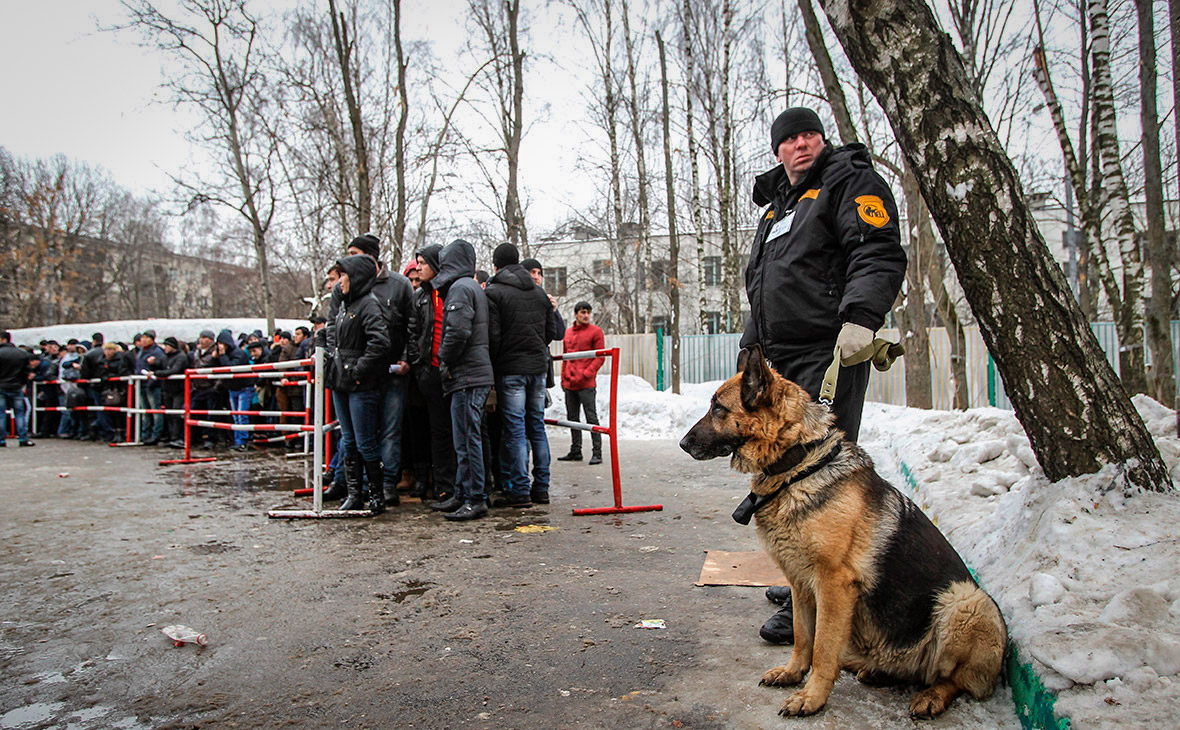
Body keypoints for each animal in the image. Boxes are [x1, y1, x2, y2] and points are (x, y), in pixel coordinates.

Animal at [684, 349, 1005, 721]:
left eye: (719, 408)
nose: (683, 443)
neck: (799, 465)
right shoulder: (800, 583)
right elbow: (803, 636)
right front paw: (793, 673)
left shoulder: (833, 585)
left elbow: (823, 646)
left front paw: (812, 697)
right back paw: (876, 670)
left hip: (965, 601)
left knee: (955, 679)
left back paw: (932, 696)